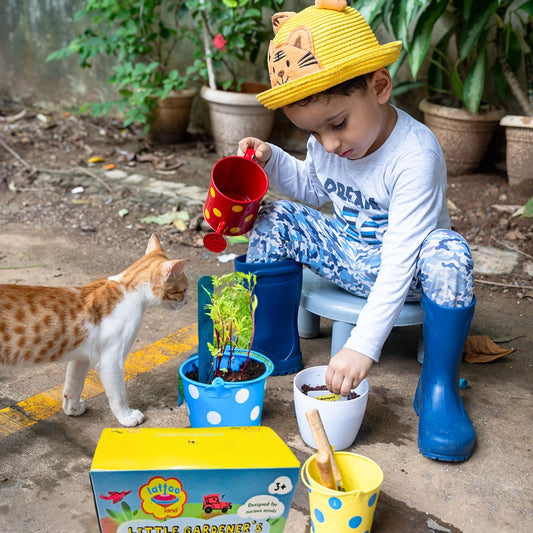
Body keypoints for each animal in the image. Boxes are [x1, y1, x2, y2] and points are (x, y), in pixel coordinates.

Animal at [0, 235, 188, 426]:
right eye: (184, 290)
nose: (187, 301)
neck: (127, 289)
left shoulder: (81, 356)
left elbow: (73, 385)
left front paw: (73, 409)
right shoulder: (111, 360)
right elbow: (118, 394)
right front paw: (126, 416)